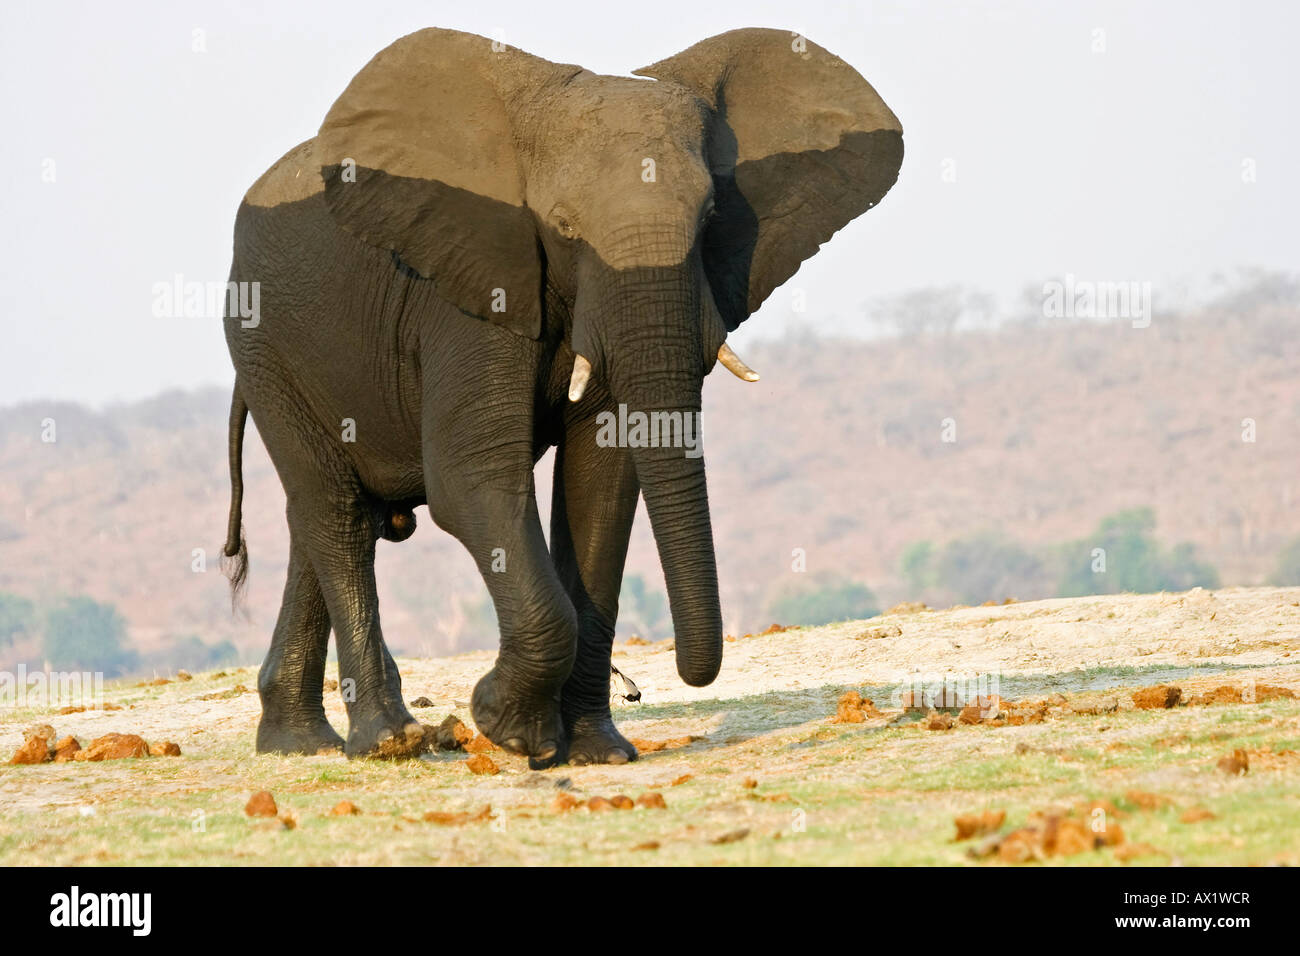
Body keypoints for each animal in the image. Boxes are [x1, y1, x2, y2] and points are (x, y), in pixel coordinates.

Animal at [218, 26, 899, 764]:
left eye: (712, 216)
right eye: (567, 228)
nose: (672, 680)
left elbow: (600, 482)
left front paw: (597, 751)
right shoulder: (468, 286)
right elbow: (473, 478)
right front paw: (507, 727)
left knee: (323, 517)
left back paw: (297, 743)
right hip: (264, 341)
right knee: (336, 513)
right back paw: (389, 742)